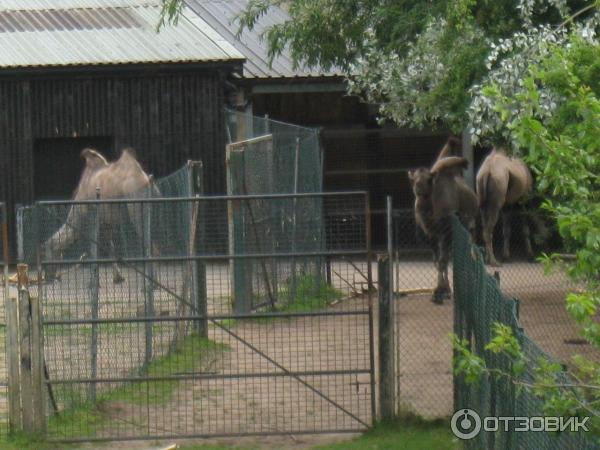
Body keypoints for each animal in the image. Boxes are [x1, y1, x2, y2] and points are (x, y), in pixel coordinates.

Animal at [44, 148, 158, 282]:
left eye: (46, 253)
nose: (48, 277)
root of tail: (146, 179)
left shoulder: (91, 221)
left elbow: (94, 249)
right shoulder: (106, 224)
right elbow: (110, 247)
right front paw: (118, 277)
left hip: (136, 206)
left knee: (150, 245)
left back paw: (152, 282)